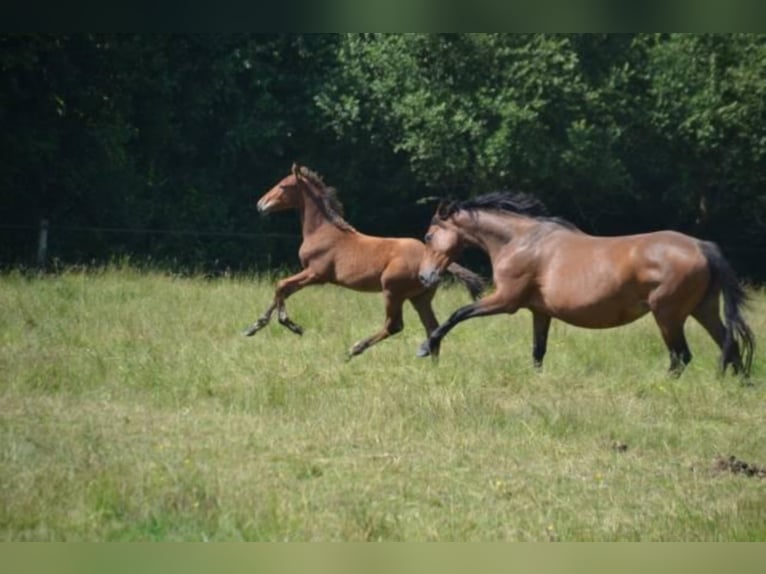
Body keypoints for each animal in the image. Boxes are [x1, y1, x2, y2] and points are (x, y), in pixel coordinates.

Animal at [246, 164, 486, 358]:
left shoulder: (316, 273)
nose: (260, 205)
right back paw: (433, 367)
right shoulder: (309, 274)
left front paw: (291, 325)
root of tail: (436, 259)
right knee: (432, 328)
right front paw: (254, 326)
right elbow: (282, 290)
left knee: (394, 326)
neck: (322, 231)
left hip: (392, 291)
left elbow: (281, 285)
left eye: (283, 186)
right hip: (420, 297)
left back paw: (354, 349)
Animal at [416, 192, 752, 378]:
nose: (424, 277)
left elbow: (458, 314)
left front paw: (426, 347)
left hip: (668, 316)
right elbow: (538, 350)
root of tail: (702, 246)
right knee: (731, 346)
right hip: (702, 310)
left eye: (429, 237)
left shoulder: (506, 300)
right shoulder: (540, 312)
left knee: (681, 357)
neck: (520, 242)